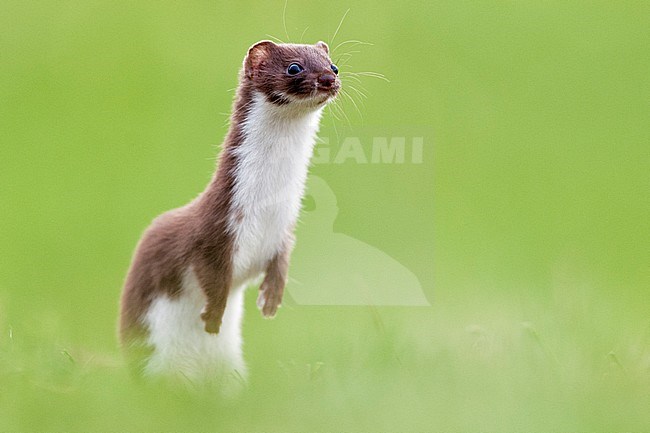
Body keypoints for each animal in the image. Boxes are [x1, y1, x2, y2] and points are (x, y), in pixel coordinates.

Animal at [119, 39, 340, 384]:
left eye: (334, 66)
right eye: (294, 67)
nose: (329, 80)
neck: (267, 211)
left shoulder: (284, 230)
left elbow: (281, 263)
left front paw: (271, 299)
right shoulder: (215, 232)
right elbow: (213, 277)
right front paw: (212, 317)